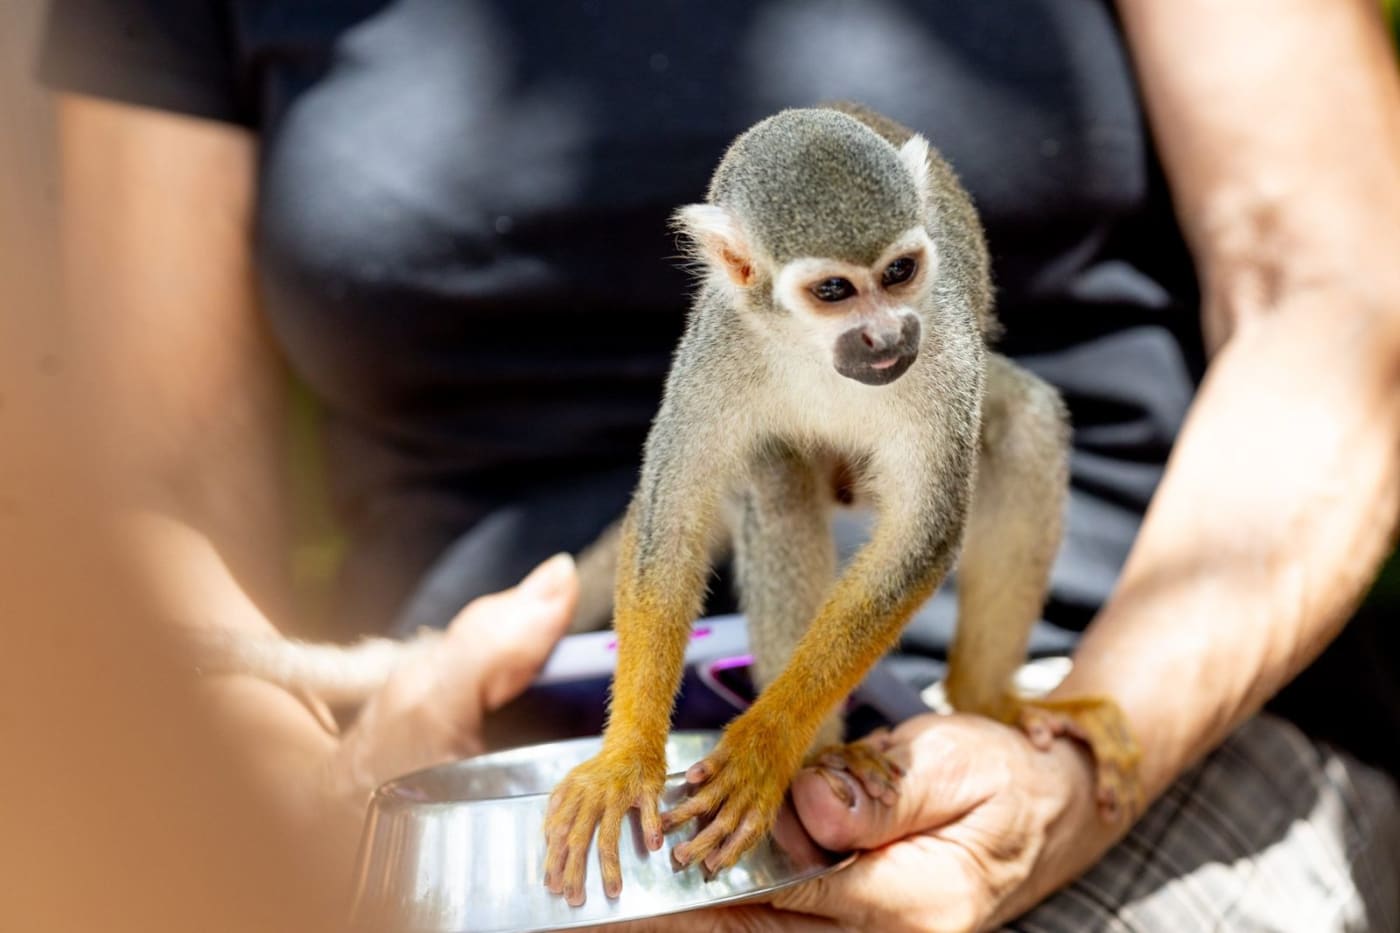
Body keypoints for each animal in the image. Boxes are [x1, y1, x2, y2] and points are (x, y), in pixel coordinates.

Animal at [540, 104, 1143, 907]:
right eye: (833, 291)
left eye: (898, 273)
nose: (887, 334)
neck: (814, 352)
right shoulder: (720, 345)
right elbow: (672, 511)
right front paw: (626, 759)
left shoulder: (944, 348)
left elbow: (924, 534)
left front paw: (765, 749)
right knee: (777, 478)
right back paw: (824, 758)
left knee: (1027, 424)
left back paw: (982, 702)